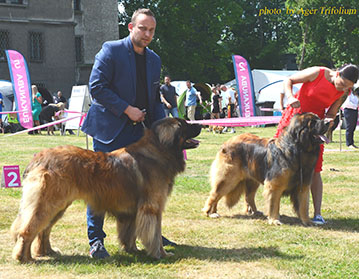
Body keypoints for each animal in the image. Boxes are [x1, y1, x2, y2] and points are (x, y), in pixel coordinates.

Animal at [11, 117, 202, 262]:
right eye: (185, 124)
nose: (200, 125)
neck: (159, 149)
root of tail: (39, 158)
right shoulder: (152, 207)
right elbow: (155, 234)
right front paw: (161, 254)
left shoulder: (133, 211)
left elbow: (130, 233)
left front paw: (132, 249)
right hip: (48, 203)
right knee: (28, 230)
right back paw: (24, 257)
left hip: (58, 205)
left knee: (43, 230)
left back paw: (46, 252)